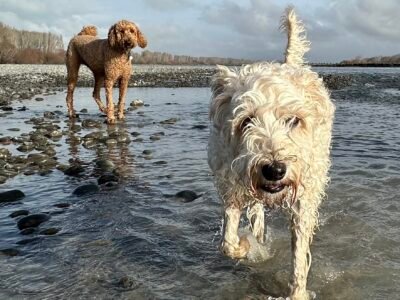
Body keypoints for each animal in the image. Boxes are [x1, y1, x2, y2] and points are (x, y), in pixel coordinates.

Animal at [208, 7, 332, 300]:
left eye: (293, 120)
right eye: (246, 120)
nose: (274, 169)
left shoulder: (303, 200)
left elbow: (298, 255)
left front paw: (297, 293)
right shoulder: (231, 183)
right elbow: (227, 242)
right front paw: (245, 246)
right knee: (256, 210)